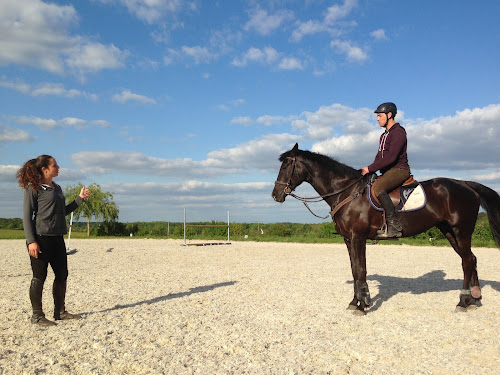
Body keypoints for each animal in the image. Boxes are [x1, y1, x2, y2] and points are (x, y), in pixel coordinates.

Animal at [274, 145, 500, 316]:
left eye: (286, 165)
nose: (275, 194)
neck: (347, 192)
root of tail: (466, 184)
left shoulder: (358, 237)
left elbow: (361, 270)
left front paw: (363, 305)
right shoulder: (348, 239)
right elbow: (354, 270)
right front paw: (355, 302)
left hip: (461, 231)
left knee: (467, 261)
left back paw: (462, 301)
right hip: (449, 232)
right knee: (471, 259)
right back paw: (474, 299)